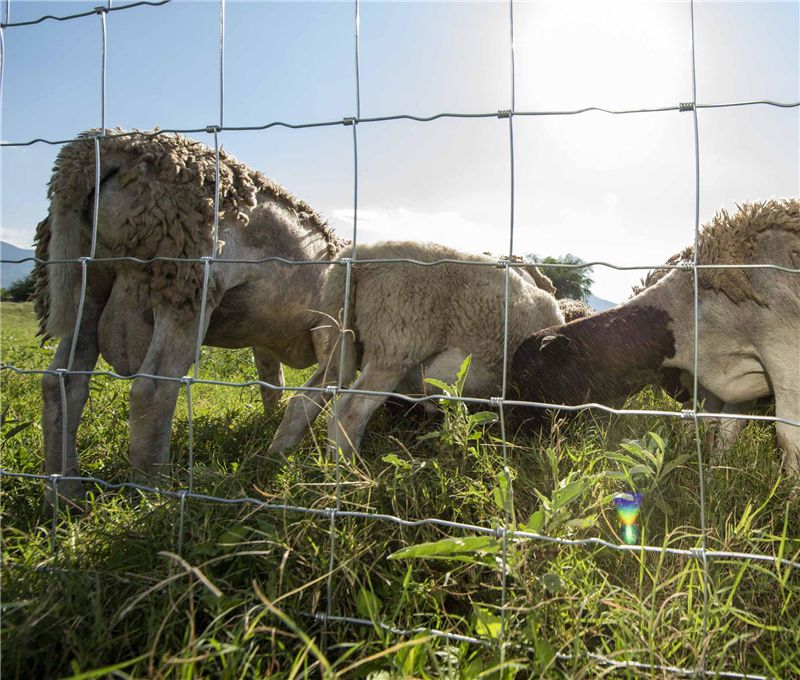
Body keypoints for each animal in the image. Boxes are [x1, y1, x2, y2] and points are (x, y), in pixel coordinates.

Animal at [36, 130, 346, 496]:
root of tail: (92, 151)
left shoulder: (267, 339)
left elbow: (272, 381)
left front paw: (270, 424)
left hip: (87, 279)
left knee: (61, 384)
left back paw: (65, 491)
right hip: (186, 280)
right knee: (152, 390)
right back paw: (153, 489)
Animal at [268, 240, 564, 456]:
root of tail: (360, 255)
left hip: (341, 336)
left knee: (306, 397)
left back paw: (279, 456)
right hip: (395, 343)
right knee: (350, 411)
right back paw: (348, 474)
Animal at [512, 199, 800, 476]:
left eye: (527, 375)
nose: (517, 434)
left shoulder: (785, 361)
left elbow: (787, 440)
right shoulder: (734, 379)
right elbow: (722, 431)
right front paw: (715, 475)